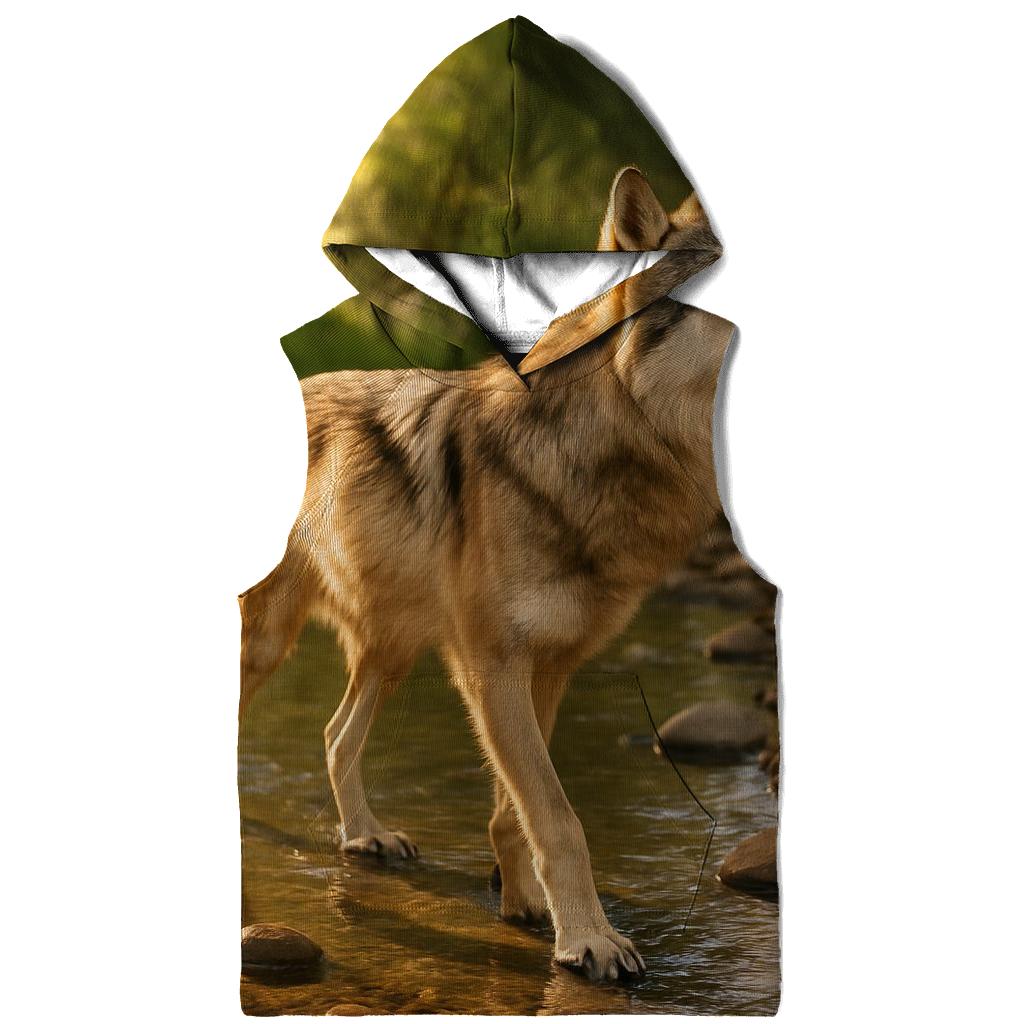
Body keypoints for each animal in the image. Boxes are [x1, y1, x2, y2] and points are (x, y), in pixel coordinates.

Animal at [239, 167, 732, 981]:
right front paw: (592, 940)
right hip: (272, 642)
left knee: (336, 735)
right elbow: (558, 818)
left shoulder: (548, 666)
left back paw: (364, 835)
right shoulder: (492, 665)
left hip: (393, 650)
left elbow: (517, 810)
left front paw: (529, 908)